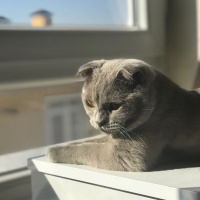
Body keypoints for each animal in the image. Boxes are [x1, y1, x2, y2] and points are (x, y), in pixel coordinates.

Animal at [46, 58, 200, 171]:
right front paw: (62, 145)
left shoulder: (125, 156)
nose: (99, 121)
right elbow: (86, 142)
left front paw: (52, 151)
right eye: (90, 103)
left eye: (115, 106)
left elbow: (87, 149)